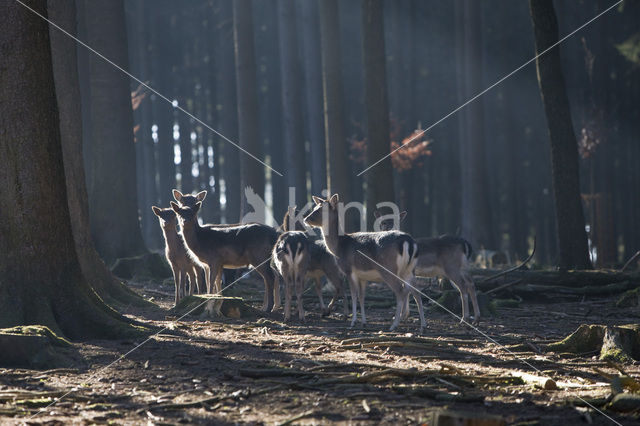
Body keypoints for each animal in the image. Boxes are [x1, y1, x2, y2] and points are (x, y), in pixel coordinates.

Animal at [304, 195, 424, 332]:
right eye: (315, 208)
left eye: (321, 209)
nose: (306, 219)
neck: (340, 247)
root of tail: (408, 242)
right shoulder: (363, 276)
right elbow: (362, 297)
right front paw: (363, 322)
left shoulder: (349, 270)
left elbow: (354, 295)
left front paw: (353, 322)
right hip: (410, 270)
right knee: (416, 291)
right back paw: (423, 325)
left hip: (389, 269)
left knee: (400, 291)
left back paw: (394, 325)